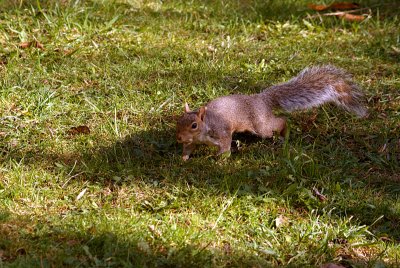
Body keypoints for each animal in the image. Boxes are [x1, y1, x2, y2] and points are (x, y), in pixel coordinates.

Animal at [177, 65, 368, 160]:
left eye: (194, 125)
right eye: (178, 121)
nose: (178, 138)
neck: (204, 130)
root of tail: (262, 99)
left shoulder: (221, 132)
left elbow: (225, 146)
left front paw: (219, 159)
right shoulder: (192, 142)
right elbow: (188, 149)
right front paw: (183, 159)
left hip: (261, 126)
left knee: (280, 121)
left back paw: (285, 135)